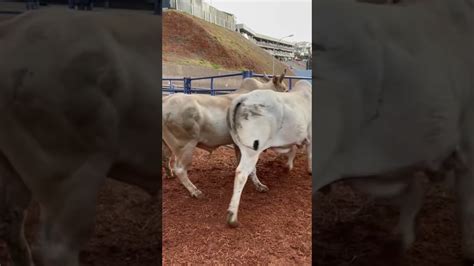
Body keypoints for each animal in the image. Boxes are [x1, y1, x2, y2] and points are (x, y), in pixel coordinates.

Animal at [161, 72, 290, 197]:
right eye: (284, 89)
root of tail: (166, 100)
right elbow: (252, 168)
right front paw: (259, 186)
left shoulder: (237, 144)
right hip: (185, 145)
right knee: (180, 169)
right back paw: (195, 191)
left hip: (167, 144)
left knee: (166, 159)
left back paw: (169, 175)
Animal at [226, 80, 312, 228]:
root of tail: (243, 98)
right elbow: (309, 154)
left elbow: (293, 149)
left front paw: (288, 166)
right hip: (252, 149)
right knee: (241, 173)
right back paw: (232, 215)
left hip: (242, 147)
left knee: (250, 169)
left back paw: (260, 186)